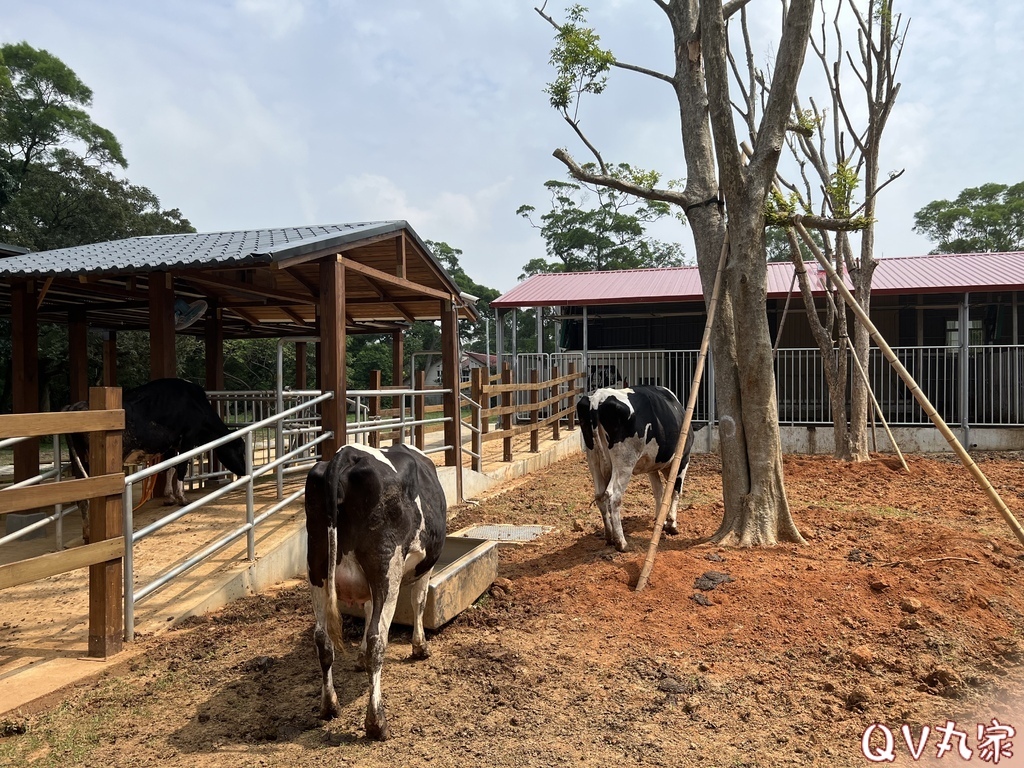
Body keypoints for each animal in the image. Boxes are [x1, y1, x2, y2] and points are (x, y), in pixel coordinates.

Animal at [65, 382, 245, 536]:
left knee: (82, 497)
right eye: (239, 450)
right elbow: (181, 467)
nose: (244, 471)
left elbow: (169, 468)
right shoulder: (188, 437)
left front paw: (169, 497)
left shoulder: (171, 444)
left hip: (79, 461)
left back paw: (87, 533)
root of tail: (76, 406)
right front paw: (182, 498)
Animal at [303, 442, 448, 741]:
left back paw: (329, 706)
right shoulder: (426, 566)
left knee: (322, 638)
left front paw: (357, 658)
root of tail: (346, 455)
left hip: (316, 567)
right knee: (377, 639)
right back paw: (376, 722)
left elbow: (368, 611)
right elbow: (419, 601)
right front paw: (420, 647)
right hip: (386, 569)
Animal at [577, 387, 696, 548]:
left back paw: (609, 536)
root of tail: (598, 397)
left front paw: (660, 519)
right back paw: (621, 542)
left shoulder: (652, 466)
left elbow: (658, 492)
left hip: (593, 460)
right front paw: (671, 524)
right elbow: (676, 491)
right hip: (625, 463)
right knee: (614, 496)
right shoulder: (683, 459)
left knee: (600, 495)